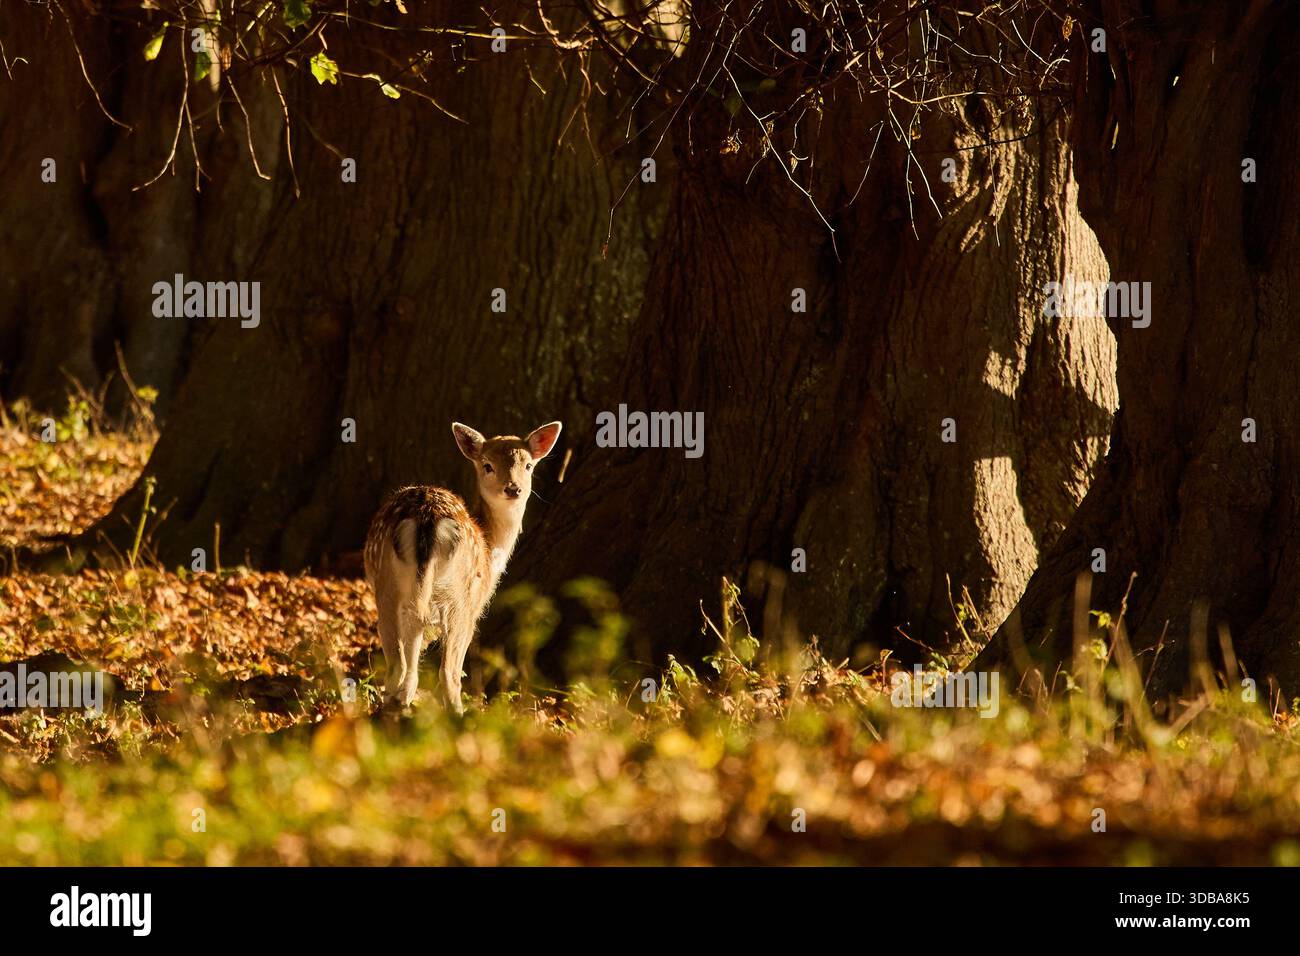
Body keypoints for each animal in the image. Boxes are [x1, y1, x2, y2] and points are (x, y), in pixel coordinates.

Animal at [363, 420, 562, 713]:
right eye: (487, 465)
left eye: (528, 465)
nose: (513, 489)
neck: (491, 546)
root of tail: (426, 518)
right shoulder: (476, 605)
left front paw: (404, 698)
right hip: (458, 599)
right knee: (448, 671)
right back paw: (459, 713)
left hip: (388, 584)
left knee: (399, 660)